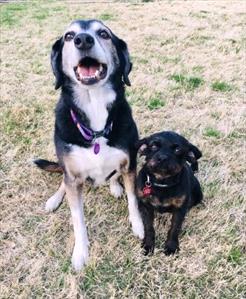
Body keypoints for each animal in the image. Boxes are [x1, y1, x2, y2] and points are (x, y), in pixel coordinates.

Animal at [34, 18, 144, 272]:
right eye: (68, 36)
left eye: (103, 33)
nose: (82, 39)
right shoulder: (73, 177)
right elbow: (78, 219)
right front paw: (81, 252)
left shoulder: (130, 163)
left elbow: (133, 199)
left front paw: (138, 226)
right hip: (66, 172)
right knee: (62, 182)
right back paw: (54, 199)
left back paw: (114, 186)